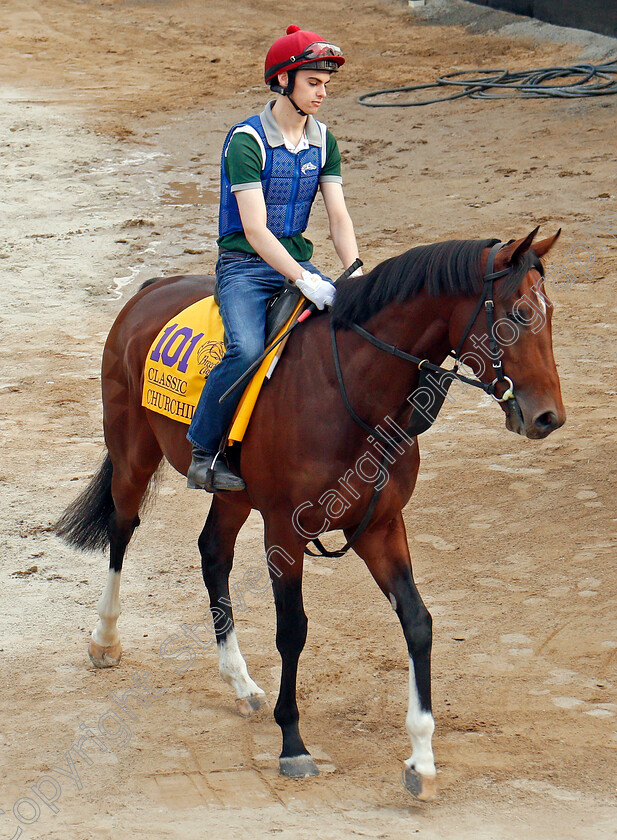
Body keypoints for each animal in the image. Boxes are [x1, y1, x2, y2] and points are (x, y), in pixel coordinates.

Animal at [56, 228, 564, 800]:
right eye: (520, 312)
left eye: (551, 312)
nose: (549, 416)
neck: (355, 394)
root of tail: (152, 288)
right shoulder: (284, 530)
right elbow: (292, 630)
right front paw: (293, 744)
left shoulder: (380, 526)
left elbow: (418, 622)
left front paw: (421, 757)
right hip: (132, 452)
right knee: (122, 529)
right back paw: (105, 640)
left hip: (233, 494)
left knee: (213, 553)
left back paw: (240, 682)